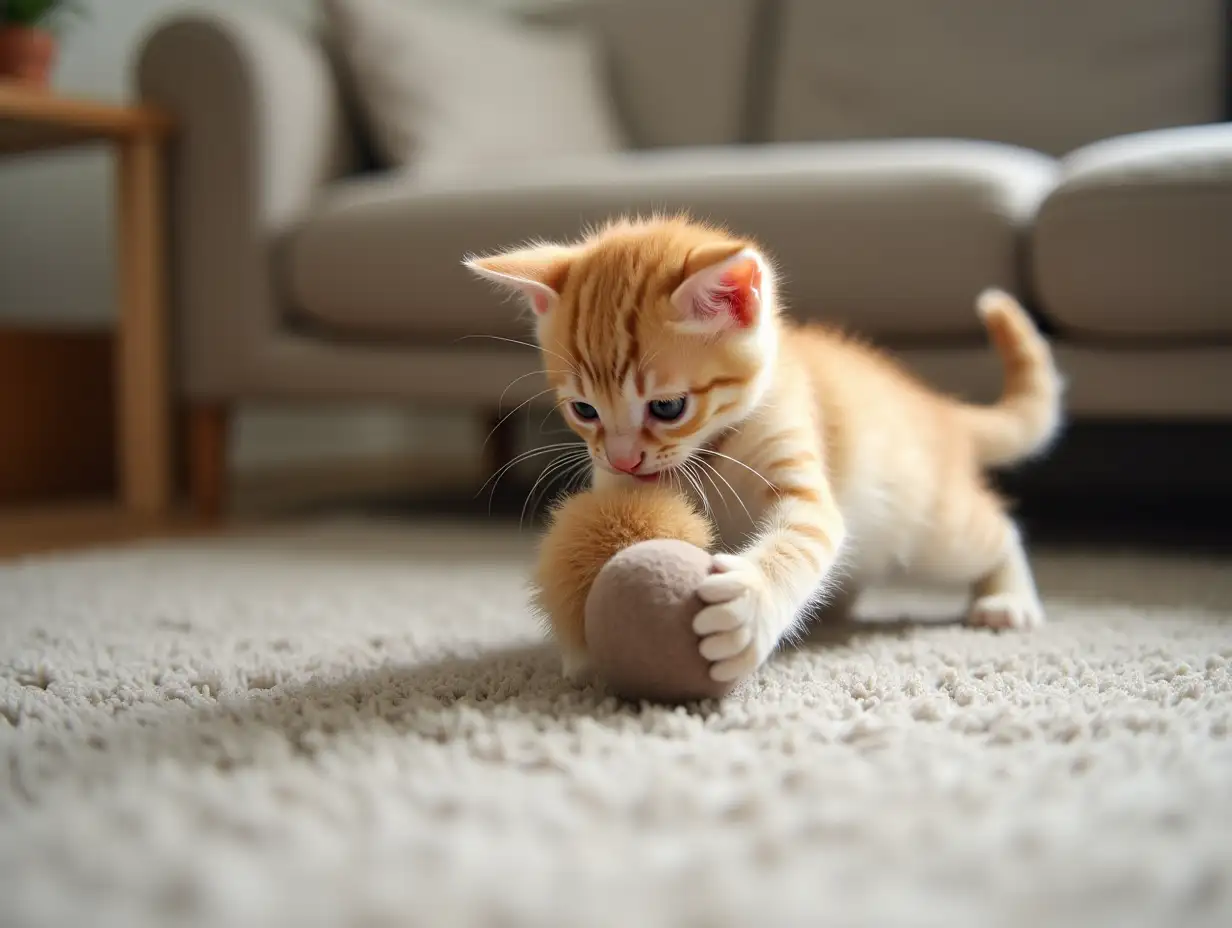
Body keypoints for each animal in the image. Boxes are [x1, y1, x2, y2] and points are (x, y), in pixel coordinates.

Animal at [465, 215, 1064, 680]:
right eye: (584, 410)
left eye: (667, 407)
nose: (623, 458)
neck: (710, 450)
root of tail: (938, 408)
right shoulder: (615, 482)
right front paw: (580, 638)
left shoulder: (799, 466)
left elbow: (804, 536)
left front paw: (748, 606)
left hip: (934, 528)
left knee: (1000, 531)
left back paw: (1008, 598)